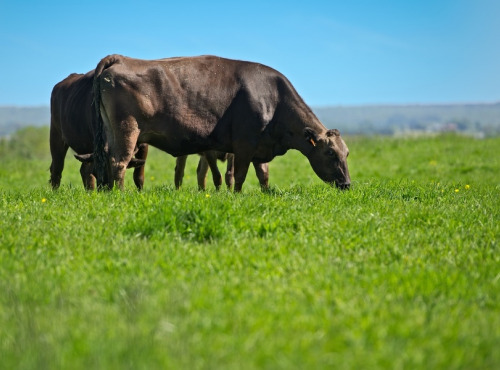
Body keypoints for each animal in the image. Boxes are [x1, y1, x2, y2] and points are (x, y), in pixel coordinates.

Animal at [88, 55, 350, 194]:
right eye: (330, 153)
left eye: (346, 153)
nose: (347, 183)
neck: (274, 99)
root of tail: (122, 59)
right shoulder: (244, 145)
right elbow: (240, 175)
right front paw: (238, 196)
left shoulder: (260, 147)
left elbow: (263, 175)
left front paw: (266, 194)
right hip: (128, 131)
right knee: (119, 162)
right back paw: (120, 194)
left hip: (112, 132)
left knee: (106, 160)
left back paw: (107, 192)